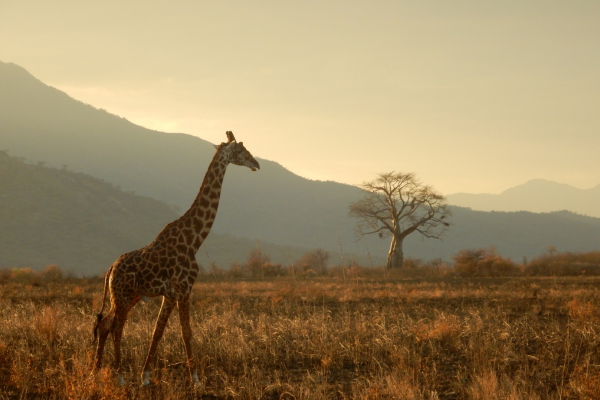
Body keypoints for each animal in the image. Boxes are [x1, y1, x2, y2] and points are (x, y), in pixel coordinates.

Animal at [92, 132, 258, 388]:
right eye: (240, 150)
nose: (256, 164)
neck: (194, 239)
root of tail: (110, 269)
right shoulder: (184, 288)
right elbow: (186, 332)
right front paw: (196, 379)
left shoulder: (169, 294)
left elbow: (157, 332)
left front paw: (146, 377)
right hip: (123, 296)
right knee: (117, 327)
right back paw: (119, 376)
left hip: (125, 296)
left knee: (105, 324)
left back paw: (95, 372)